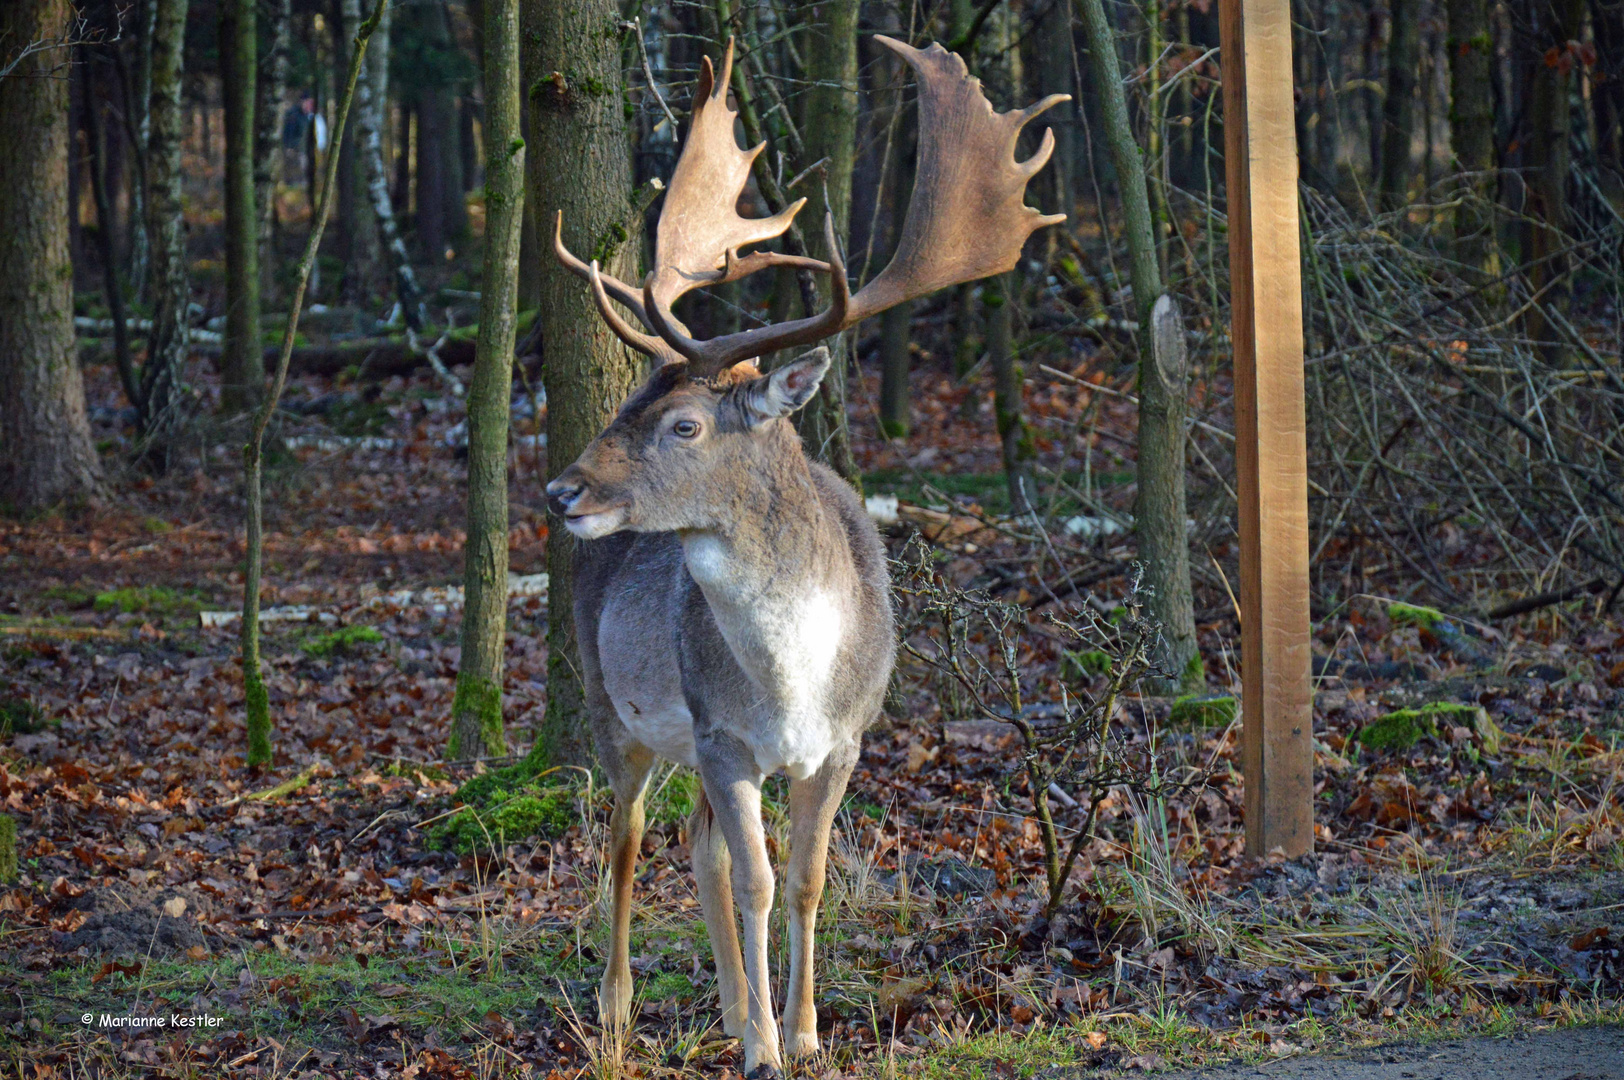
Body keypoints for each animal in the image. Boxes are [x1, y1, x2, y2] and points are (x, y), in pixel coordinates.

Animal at [548, 37, 1065, 1071]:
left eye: (685, 423)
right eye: (628, 403)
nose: (562, 491)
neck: (792, 681)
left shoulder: (848, 739)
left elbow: (807, 878)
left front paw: (805, 1032)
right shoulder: (722, 735)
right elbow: (756, 880)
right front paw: (764, 1049)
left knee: (695, 845)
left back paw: (725, 1005)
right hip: (613, 706)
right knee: (627, 841)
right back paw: (619, 1012)